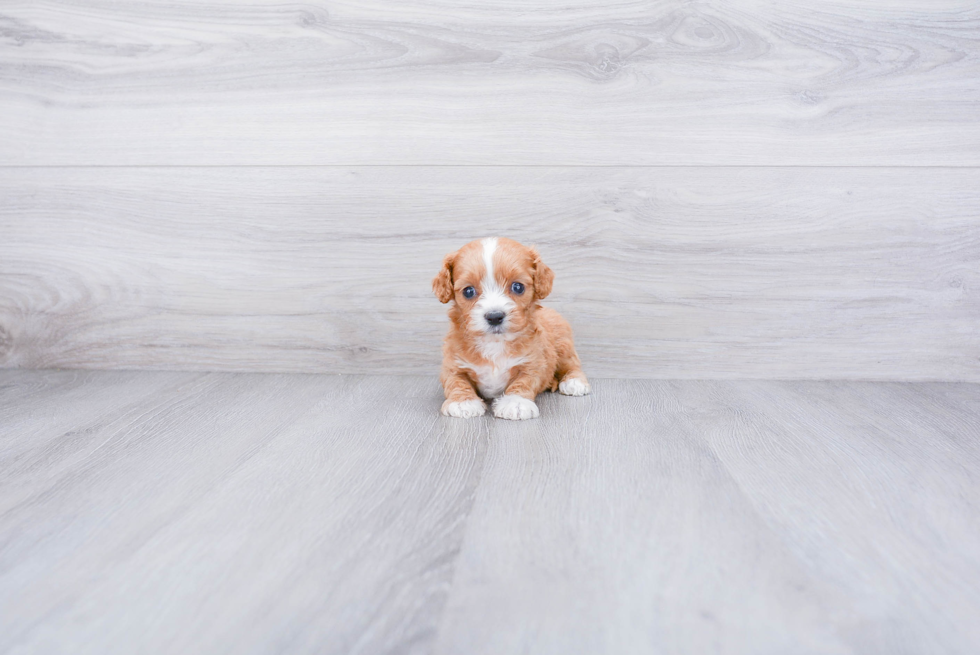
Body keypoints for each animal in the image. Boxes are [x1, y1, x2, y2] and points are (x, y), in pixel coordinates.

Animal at [434, 237, 588, 420]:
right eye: (468, 291)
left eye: (518, 287)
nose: (494, 316)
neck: (494, 343)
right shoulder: (452, 363)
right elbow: (456, 380)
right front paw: (462, 402)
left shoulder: (534, 362)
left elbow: (524, 381)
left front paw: (516, 403)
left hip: (563, 345)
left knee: (572, 365)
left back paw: (574, 382)